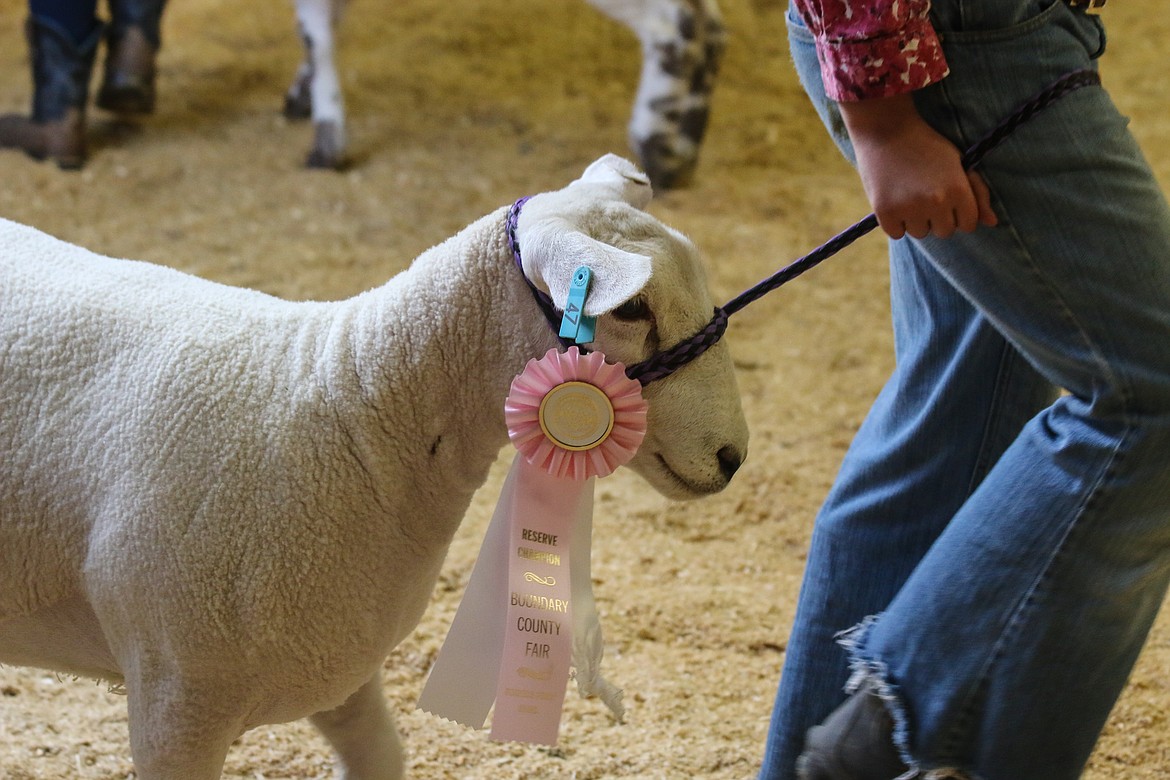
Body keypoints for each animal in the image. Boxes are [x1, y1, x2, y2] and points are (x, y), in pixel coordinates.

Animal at [0, 154, 744, 780]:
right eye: (632, 308)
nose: (733, 457)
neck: (357, 410)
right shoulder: (174, 698)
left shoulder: (343, 671)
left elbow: (382, 756)